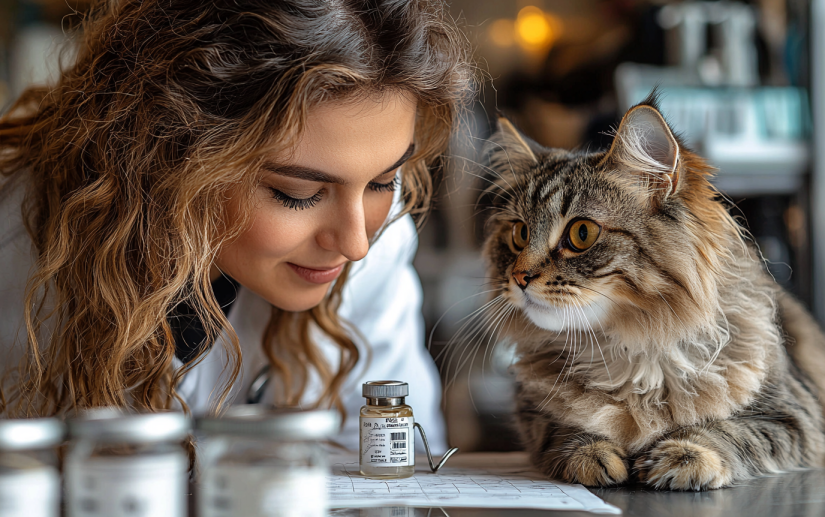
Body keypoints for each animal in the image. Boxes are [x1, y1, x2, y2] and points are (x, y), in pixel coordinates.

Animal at [480, 93, 824, 492]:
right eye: (519, 234)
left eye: (581, 233)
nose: (520, 277)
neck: (627, 348)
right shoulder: (533, 413)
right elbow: (566, 430)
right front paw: (591, 455)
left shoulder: (795, 414)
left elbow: (729, 431)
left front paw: (683, 456)